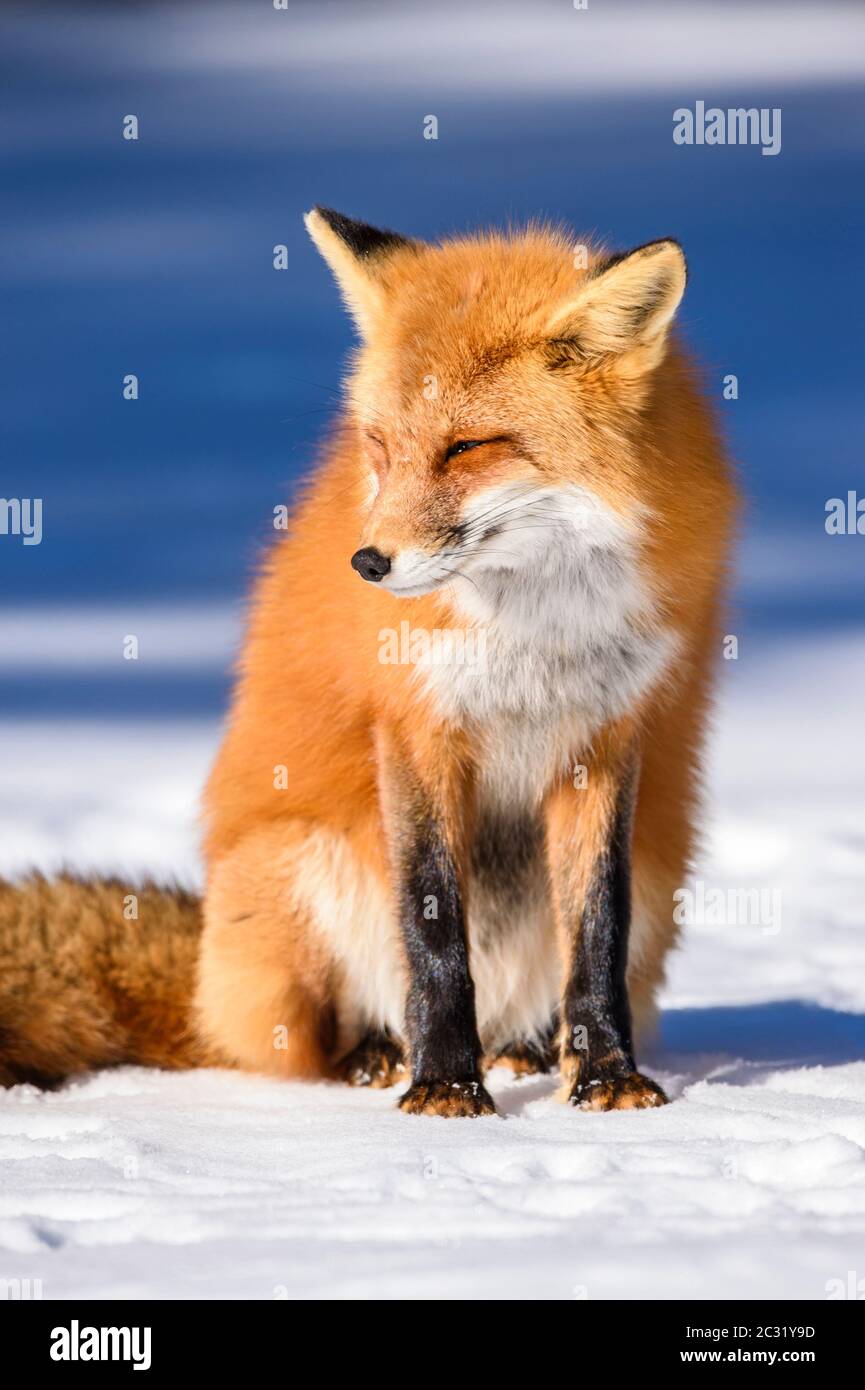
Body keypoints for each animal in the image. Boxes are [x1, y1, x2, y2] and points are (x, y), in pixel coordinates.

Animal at [0, 210, 736, 1115]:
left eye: (468, 446)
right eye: (381, 444)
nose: (368, 564)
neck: (534, 623)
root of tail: (203, 978)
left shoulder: (601, 739)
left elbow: (596, 929)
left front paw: (604, 1075)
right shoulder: (416, 728)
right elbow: (432, 928)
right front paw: (445, 1086)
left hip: (660, 876)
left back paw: (527, 1050)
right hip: (302, 871)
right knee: (305, 1040)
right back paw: (379, 1055)